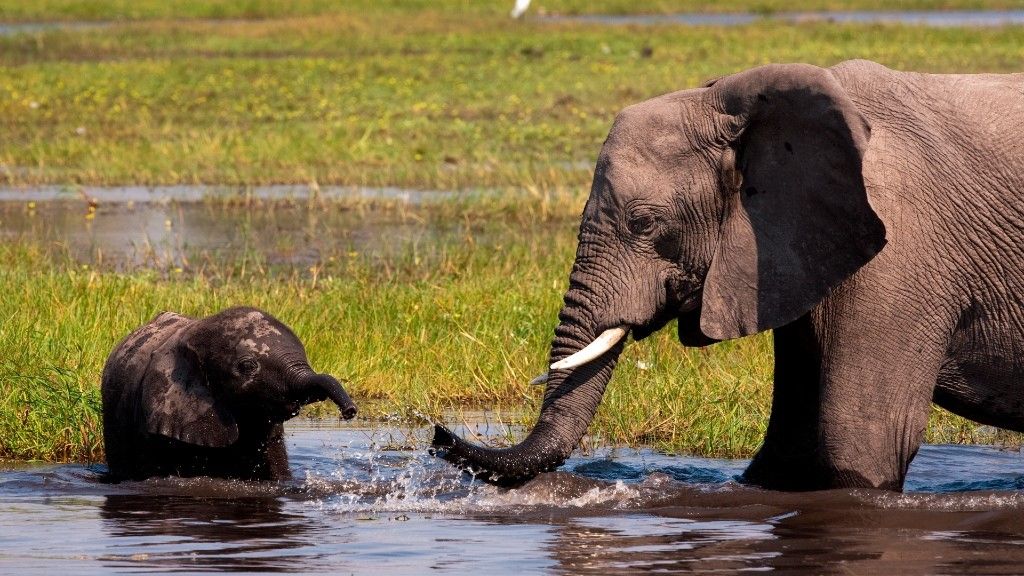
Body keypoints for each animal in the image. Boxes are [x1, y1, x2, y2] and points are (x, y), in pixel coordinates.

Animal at [432, 59, 1024, 491]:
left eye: (643, 223)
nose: (438, 434)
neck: (736, 105)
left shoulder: (900, 247)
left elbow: (859, 443)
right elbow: (788, 449)